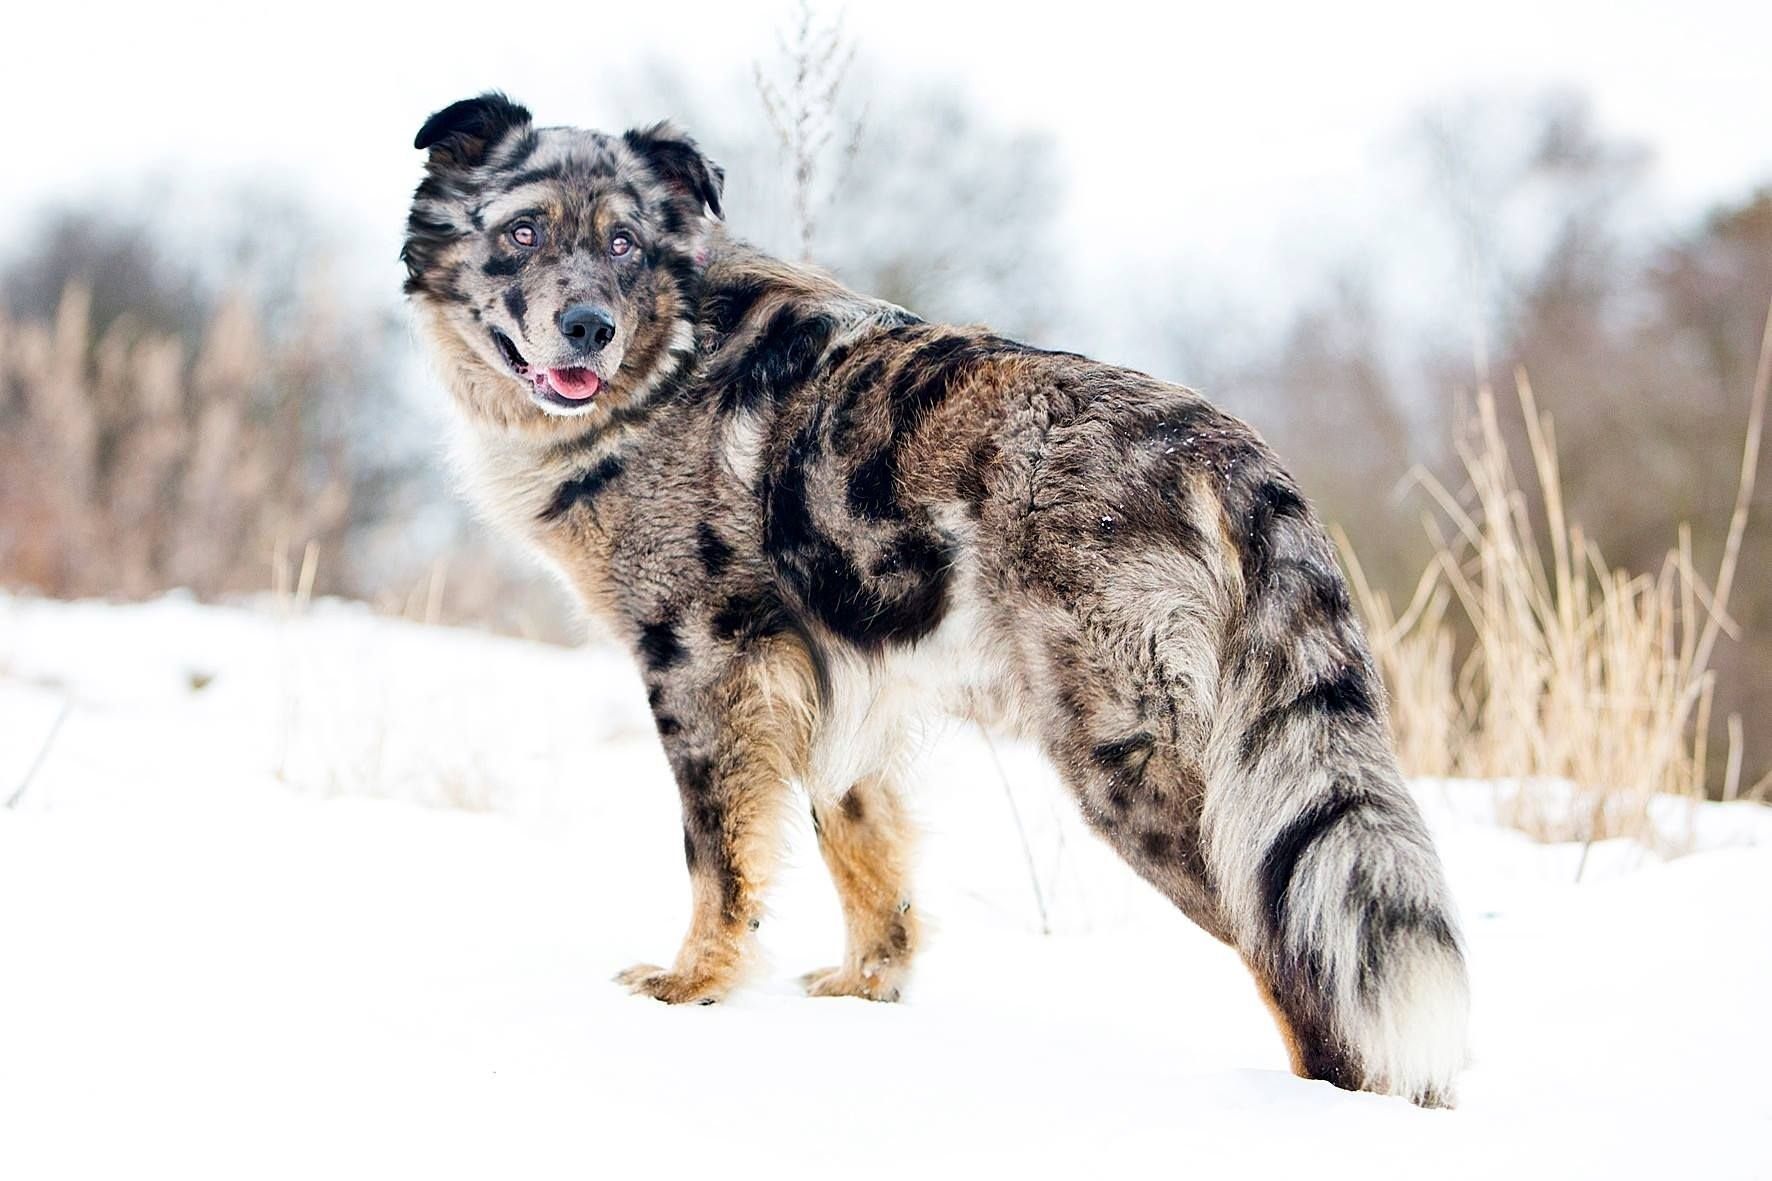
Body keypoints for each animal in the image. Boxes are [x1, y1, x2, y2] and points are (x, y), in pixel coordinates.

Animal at [402, 92, 1467, 1106]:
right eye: (525, 230)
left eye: (624, 243)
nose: (589, 328)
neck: (670, 358)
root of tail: (1224, 451)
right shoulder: (839, 688)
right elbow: (865, 854)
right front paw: (867, 989)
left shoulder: (703, 667)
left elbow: (721, 862)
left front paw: (694, 986)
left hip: (1134, 765)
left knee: (1294, 956)